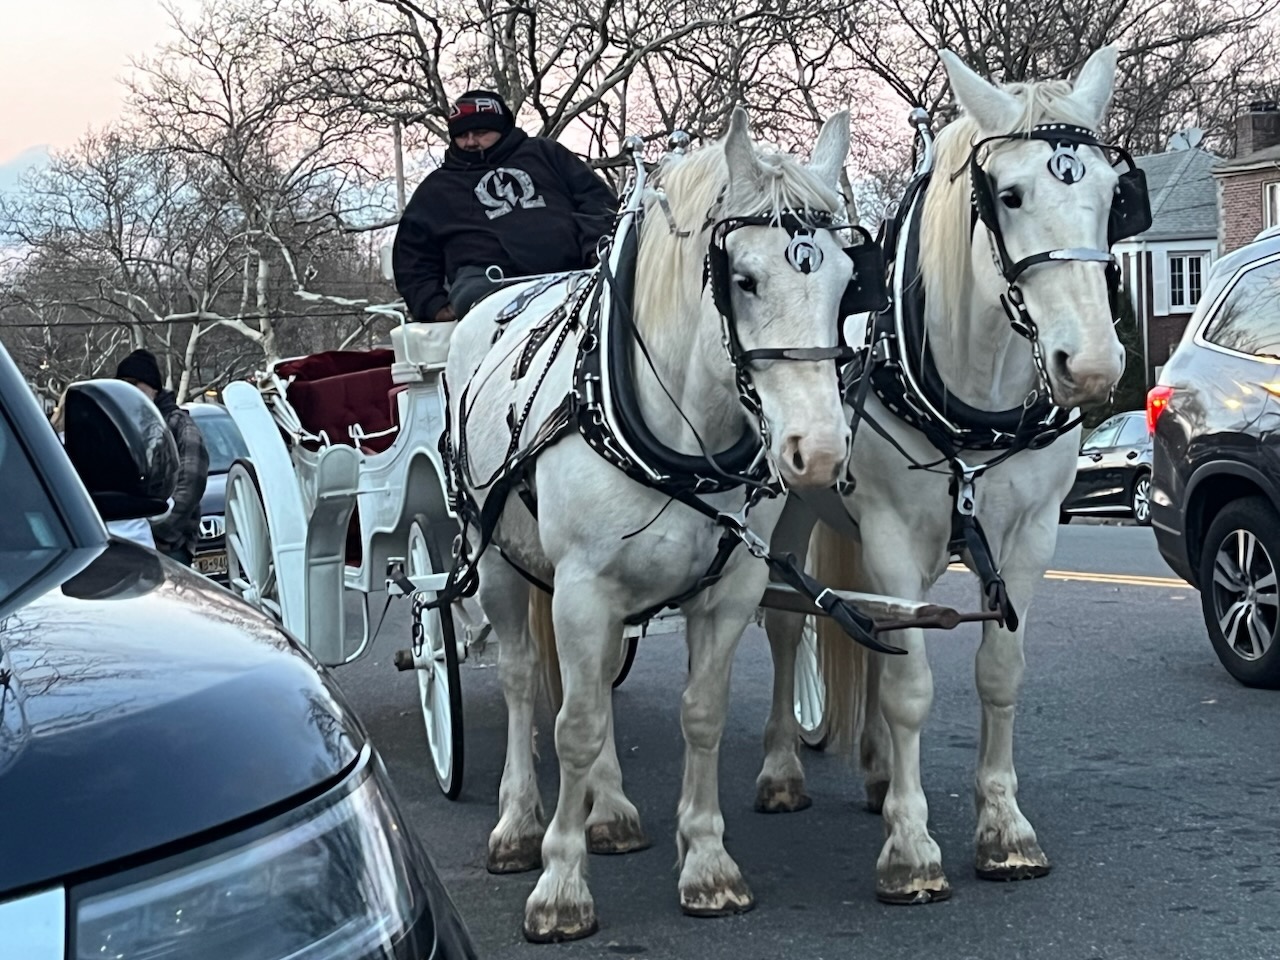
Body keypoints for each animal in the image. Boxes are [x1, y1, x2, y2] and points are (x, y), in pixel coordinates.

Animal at [444, 108, 861, 941]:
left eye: (842, 282)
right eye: (744, 279)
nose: (821, 452)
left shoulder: (728, 589)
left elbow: (699, 713)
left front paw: (706, 863)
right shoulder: (579, 590)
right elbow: (572, 723)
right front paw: (560, 884)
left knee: (599, 678)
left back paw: (611, 811)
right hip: (499, 561)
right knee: (519, 681)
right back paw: (518, 825)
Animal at [755, 46, 1135, 904]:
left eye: (1112, 196)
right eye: (1010, 194)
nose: (1094, 367)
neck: (976, 393)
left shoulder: (1028, 536)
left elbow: (998, 671)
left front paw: (1004, 829)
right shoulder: (894, 532)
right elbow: (913, 688)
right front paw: (911, 846)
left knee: (868, 630)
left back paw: (872, 775)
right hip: (785, 510)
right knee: (789, 623)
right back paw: (783, 768)